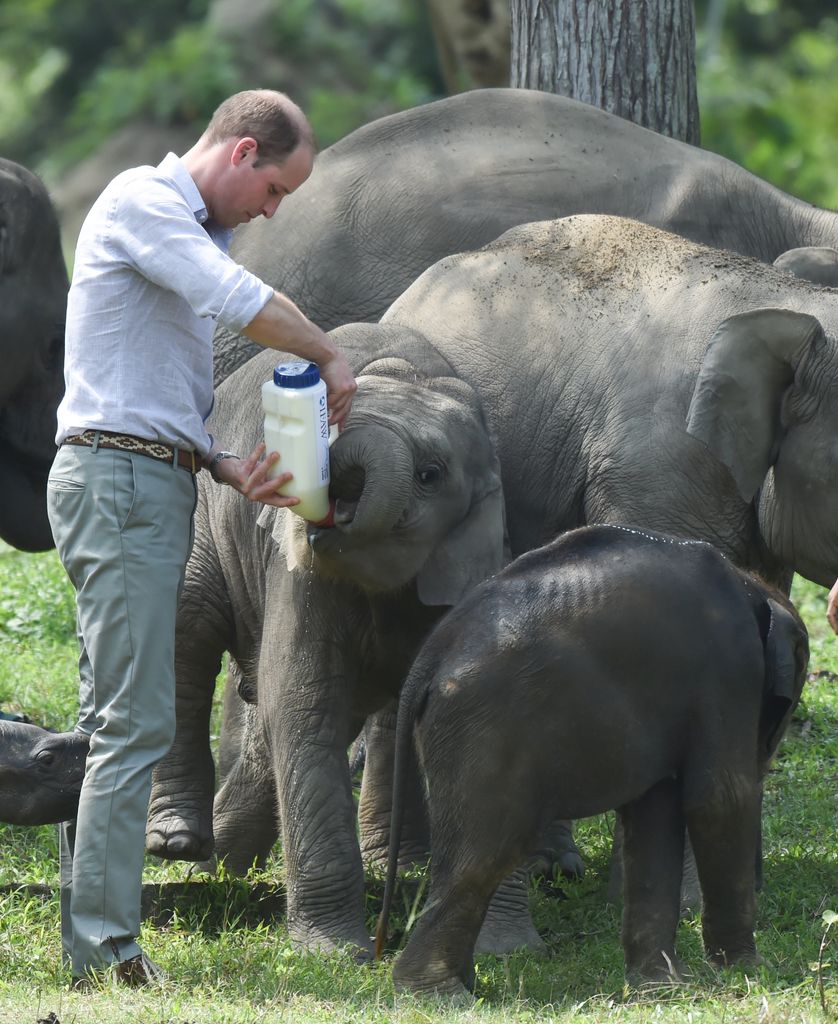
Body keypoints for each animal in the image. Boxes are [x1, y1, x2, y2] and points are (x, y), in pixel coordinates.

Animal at [374, 524, 809, 998]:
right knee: (485, 854)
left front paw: (660, 986)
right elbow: (718, 800)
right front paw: (748, 970)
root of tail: (429, 658)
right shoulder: (729, 667)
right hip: (482, 729)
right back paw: (442, 995)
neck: (752, 588)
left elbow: (655, 814)